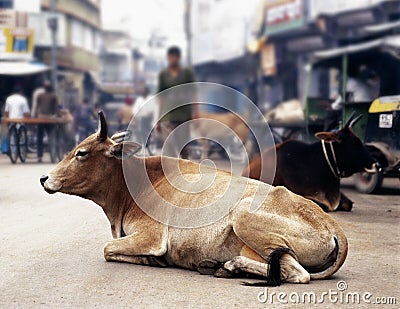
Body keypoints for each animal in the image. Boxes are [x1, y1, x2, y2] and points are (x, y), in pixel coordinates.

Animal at [39, 112, 348, 286]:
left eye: (81, 153)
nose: (44, 178)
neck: (132, 189)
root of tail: (332, 226)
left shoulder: (152, 237)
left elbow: (107, 248)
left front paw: (152, 261)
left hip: (243, 216)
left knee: (297, 274)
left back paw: (227, 266)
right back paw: (217, 266)